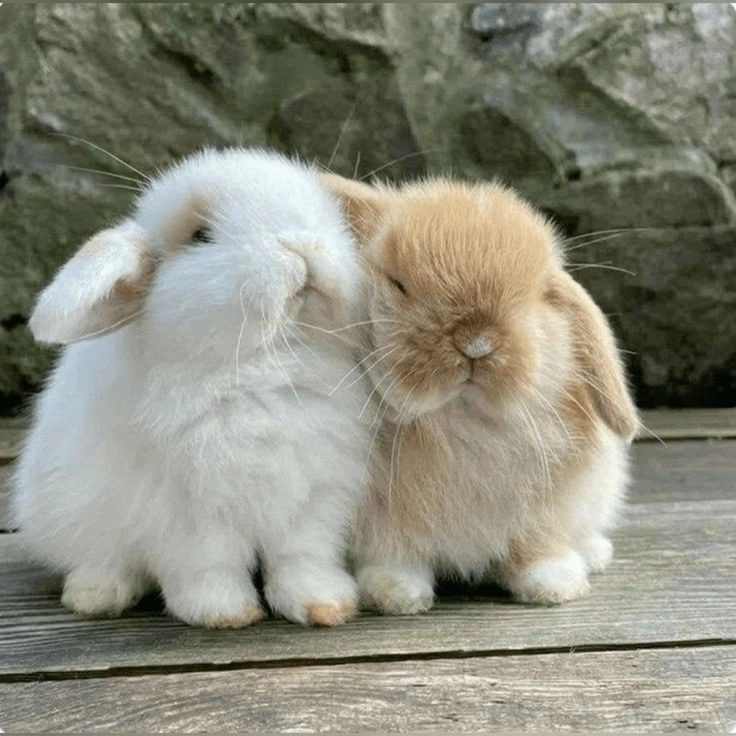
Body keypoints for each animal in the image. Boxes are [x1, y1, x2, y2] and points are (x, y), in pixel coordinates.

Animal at [11, 148, 372, 628]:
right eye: (200, 235)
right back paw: (96, 594)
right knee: (100, 559)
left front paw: (326, 606)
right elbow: (210, 565)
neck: (261, 367)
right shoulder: (190, 515)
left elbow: (302, 559)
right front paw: (225, 613)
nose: (301, 244)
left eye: (327, 212)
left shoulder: (313, 499)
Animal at [321, 173, 639, 614]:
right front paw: (395, 594)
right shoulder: (383, 518)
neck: (462, 420)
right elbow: (394, 551)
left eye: (539, 294)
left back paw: (593, 553)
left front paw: (554, 584)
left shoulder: (549, 507)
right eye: (398, 284)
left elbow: (537, 544)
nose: (476, 343)